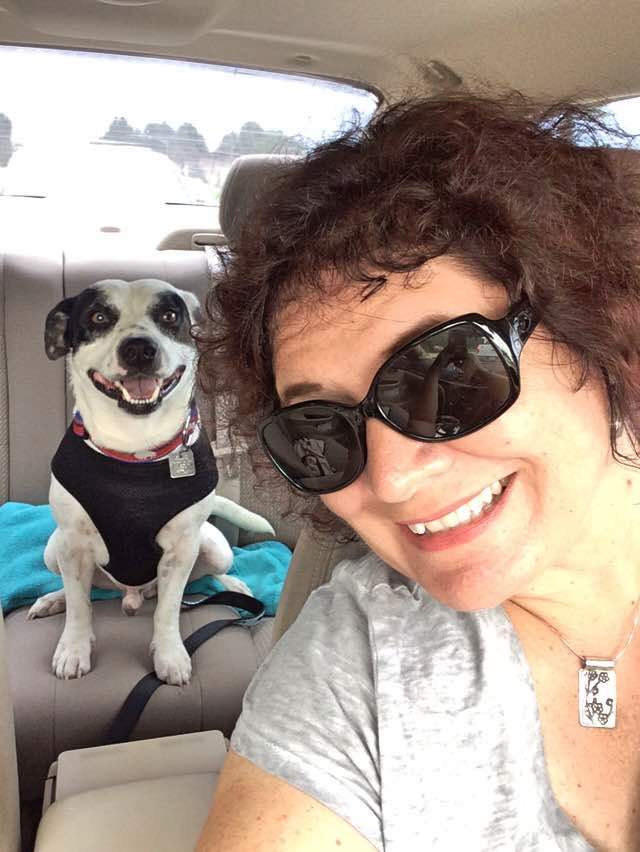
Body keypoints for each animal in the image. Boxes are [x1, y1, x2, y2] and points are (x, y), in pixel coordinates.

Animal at [29, 278, 273, 686]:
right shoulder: (73, 544)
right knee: (78, 589)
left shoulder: (181, 548)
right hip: (53, 549)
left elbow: (169, 610)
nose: (140, 349)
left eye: (170, 316)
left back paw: (234, 586)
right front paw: (73, 649)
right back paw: (53, 599)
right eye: (98, 316)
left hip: (214, 548)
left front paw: (170, 655)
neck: (135, 448)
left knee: (207, 578)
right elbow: (80, 607)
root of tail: (131, 594)